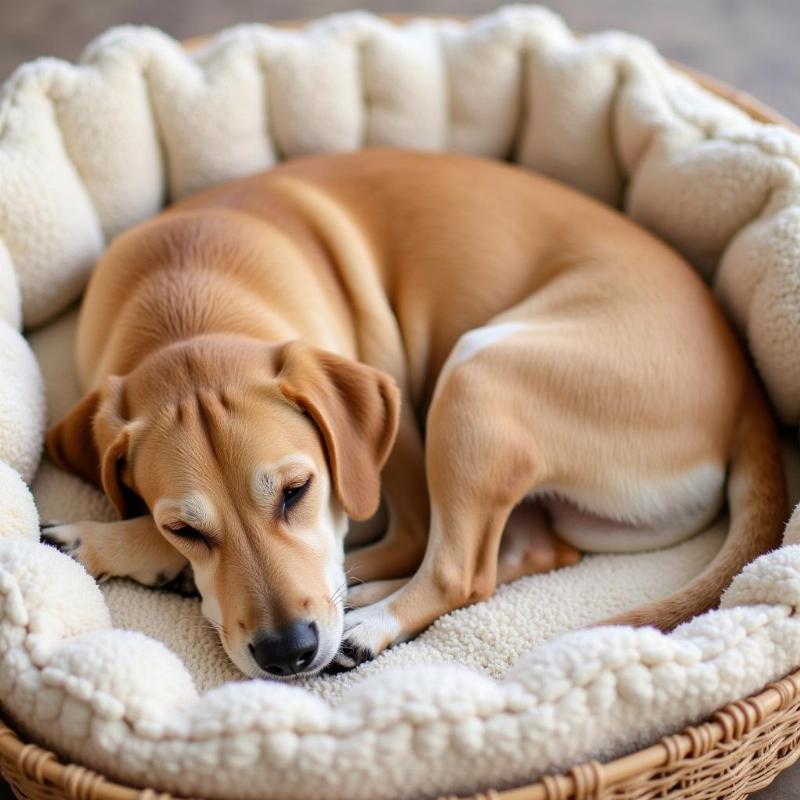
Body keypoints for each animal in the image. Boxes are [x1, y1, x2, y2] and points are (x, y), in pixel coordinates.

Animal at [40, 148, 784, 676]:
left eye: (297, 491)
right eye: (185, 528)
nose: (288, 652)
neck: (187, 295)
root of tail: (747, 390)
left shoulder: (392, 454)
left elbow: (394, 541)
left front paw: (105, 543)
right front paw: (144, 553)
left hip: (476, 376)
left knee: (460, 571)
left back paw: (368, 624)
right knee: (525, 553)